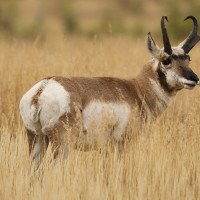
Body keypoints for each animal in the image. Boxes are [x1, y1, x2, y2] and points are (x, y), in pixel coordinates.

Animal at [19, 15, 200, 167]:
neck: (137, 90)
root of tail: (42, 89)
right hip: (62, 145)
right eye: (166, 60)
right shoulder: (121, 146)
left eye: (188, 59)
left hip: (37, 140)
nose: (194, 79)